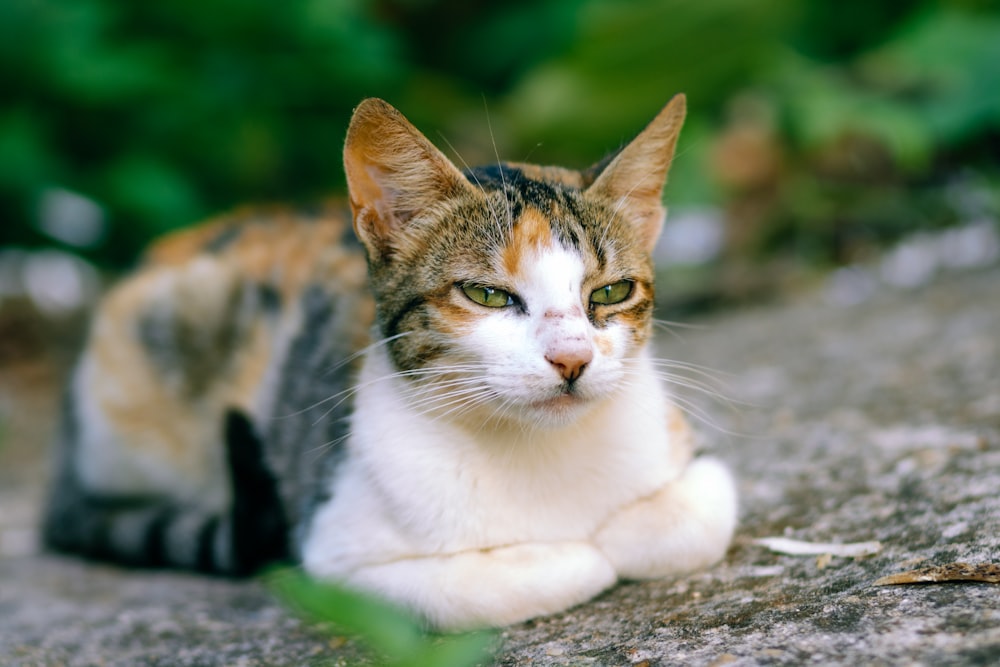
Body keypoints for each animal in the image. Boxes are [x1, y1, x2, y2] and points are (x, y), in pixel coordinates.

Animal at [43, 94, 740, 632]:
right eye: (487, 295)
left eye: (611, 292)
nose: (572, 359)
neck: (537, 449)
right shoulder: (332, 552)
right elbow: (472, 588)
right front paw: (578, 555)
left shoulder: (691, 459)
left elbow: (700, 515)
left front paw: (617, 534)